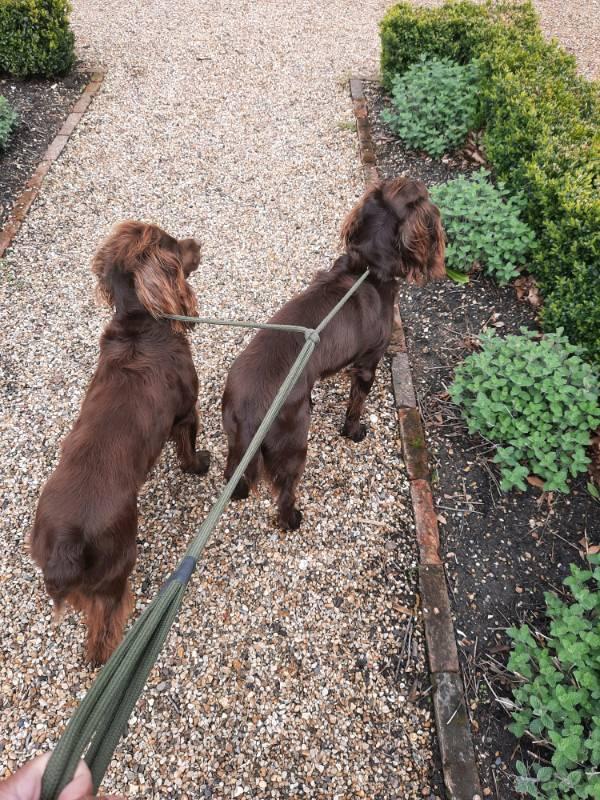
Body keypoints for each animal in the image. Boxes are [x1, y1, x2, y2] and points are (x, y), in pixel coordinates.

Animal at [30, 221, 210, 664]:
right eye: (175, 247)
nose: (198, 242)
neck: (141, 324)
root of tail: (65, 546)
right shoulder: (186, 410)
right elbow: (187, 449)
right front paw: (199, 465)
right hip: (117, 565)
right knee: (105, 626)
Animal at [222, 178, 445, 530]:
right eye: (421, 192)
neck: (368, 267)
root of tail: (247, 410)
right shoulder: (368, 362)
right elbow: (356, 406)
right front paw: (353, 432)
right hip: (293, 445)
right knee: (284, 492)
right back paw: (292, 520)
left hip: (235, 441)